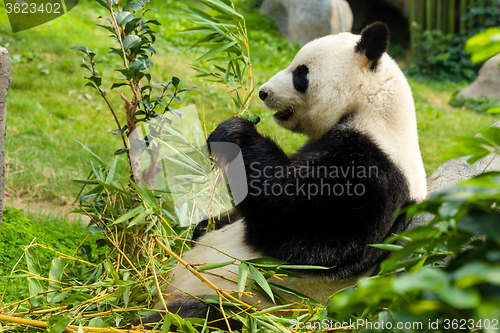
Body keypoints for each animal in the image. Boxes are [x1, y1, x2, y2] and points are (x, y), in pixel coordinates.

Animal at [140, 22, 426, 328]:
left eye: (301, 73)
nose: (263, 92)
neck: (373, 108)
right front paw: (208, 221)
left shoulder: (375, 173)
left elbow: (299, 225)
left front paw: (233, 131)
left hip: (244, 305)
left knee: (195, 316)